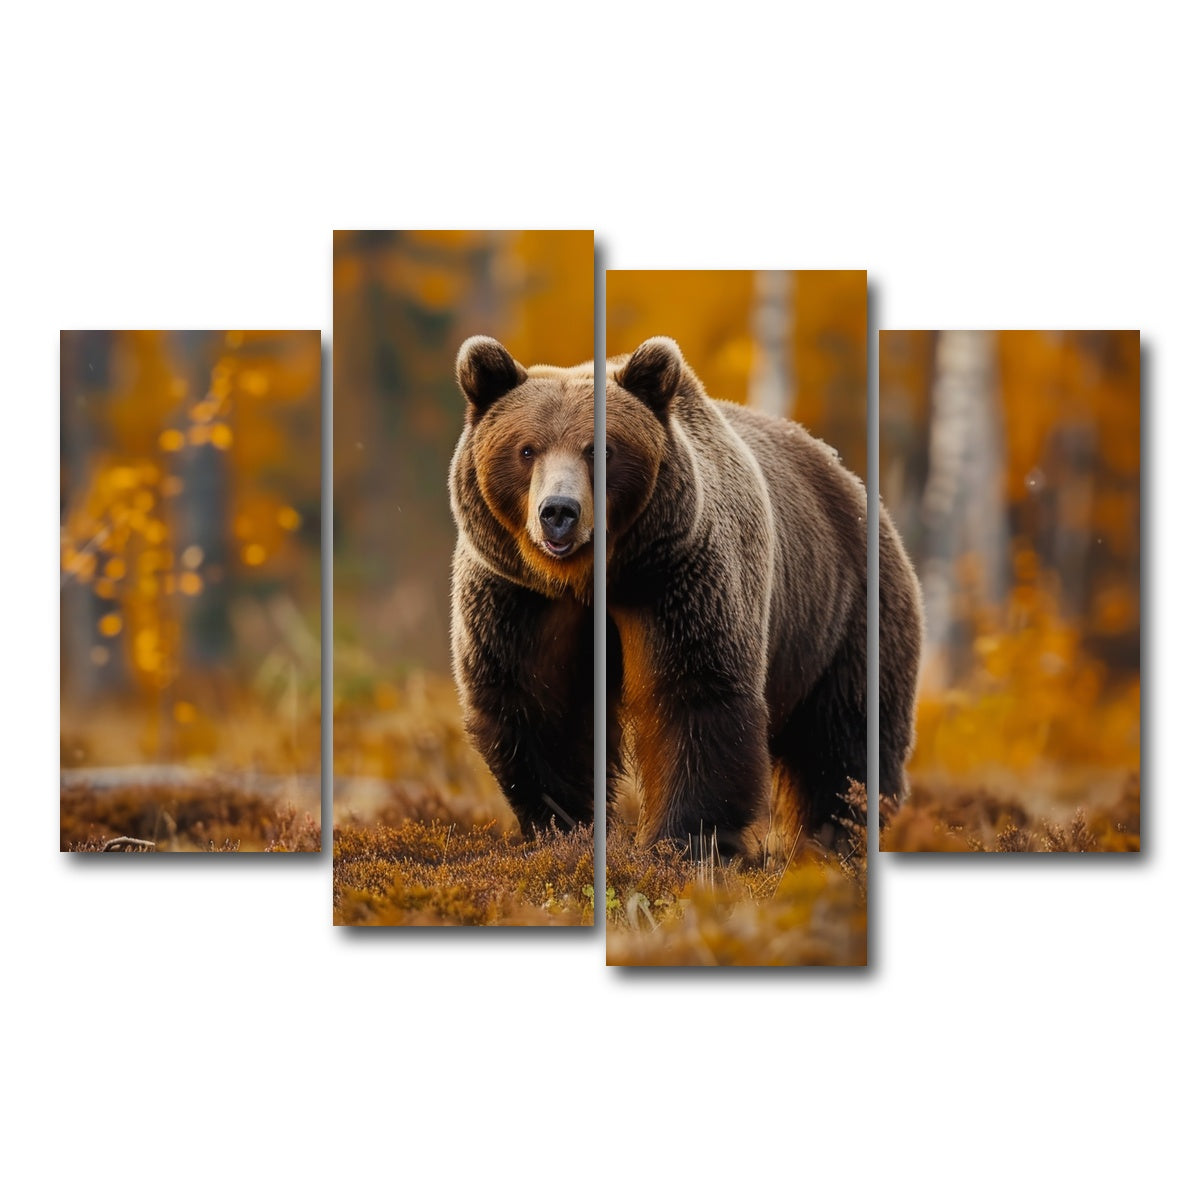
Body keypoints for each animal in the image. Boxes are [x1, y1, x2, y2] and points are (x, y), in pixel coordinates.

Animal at [606, 336, 922, 857]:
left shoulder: (693, 590)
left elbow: (699, 696)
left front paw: (682, 840)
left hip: (846, 622)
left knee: (847, 742)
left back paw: (843, 835)